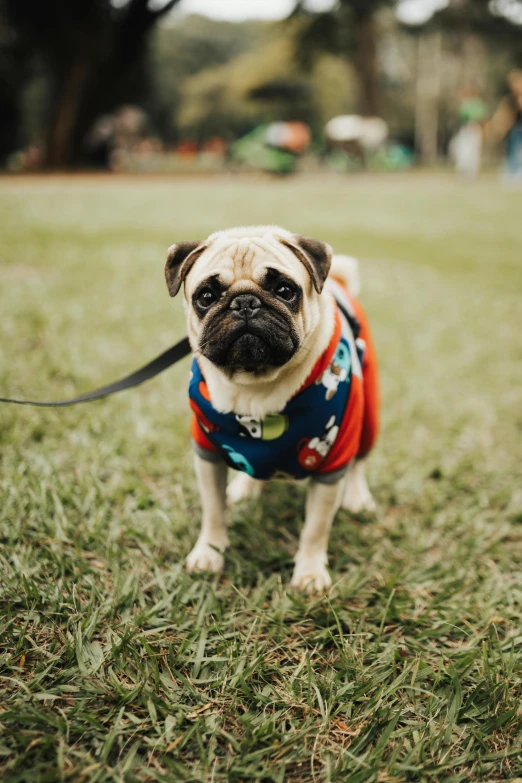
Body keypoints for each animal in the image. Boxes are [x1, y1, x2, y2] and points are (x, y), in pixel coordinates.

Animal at [165, 224, 380, 592]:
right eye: (206, 296)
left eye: (285, 291)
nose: (245, 303)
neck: (255, 386)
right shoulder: (207, 455)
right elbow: (213, 511)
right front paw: (209, 553)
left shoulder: (331, 463)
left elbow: (315, 528)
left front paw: (309, 573)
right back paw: (246, 488)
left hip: (367, 418)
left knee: (360, 462)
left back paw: (357, 498)